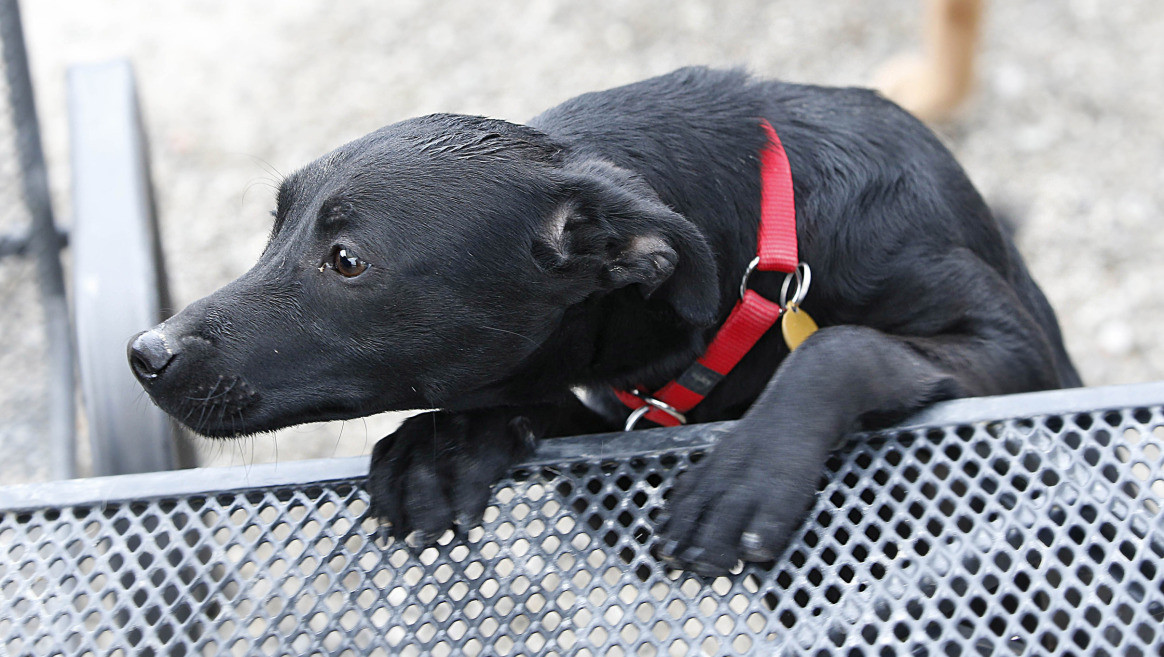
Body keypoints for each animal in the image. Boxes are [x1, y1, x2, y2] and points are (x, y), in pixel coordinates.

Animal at [129, 68, 1080, 575]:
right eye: (276, 225)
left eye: (347, 261)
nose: (144, 352)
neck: (765, 255)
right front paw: (447, 441)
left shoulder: (1013, 353)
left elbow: (844, 344)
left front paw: (749, 474)